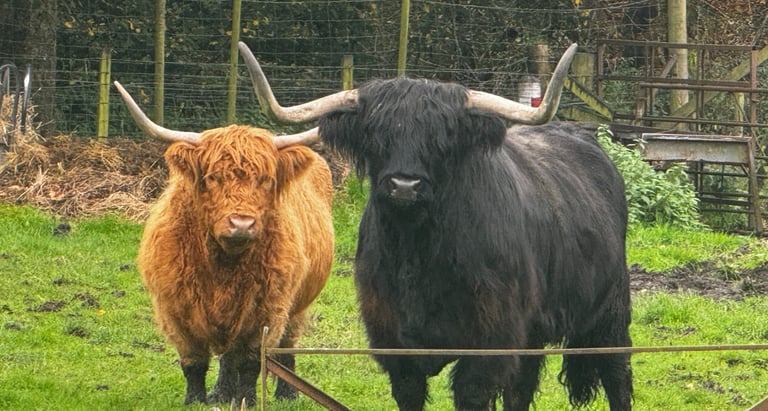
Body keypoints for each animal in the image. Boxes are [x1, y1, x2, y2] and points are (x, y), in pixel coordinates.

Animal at [113, 80, 334, 406]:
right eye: (212, 177)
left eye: (266, 179)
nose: (241, 223)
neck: (223, 266)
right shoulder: (174, 309)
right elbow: (194, 361)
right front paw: (195, 400)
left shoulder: (266, 309)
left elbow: (252, 362)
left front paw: (248, 401)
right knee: (229, 356)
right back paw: (221, 393)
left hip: (298, 303)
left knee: (285, 345)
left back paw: (287, 393)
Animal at [239, 41, 632, 410]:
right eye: (376, 134)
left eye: (443, 137)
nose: (404, 185)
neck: (418, 253)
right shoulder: (394, 345)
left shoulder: (489, 344)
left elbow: (473, 395)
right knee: (522, 388)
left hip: (611, 312)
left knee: (617, 374)